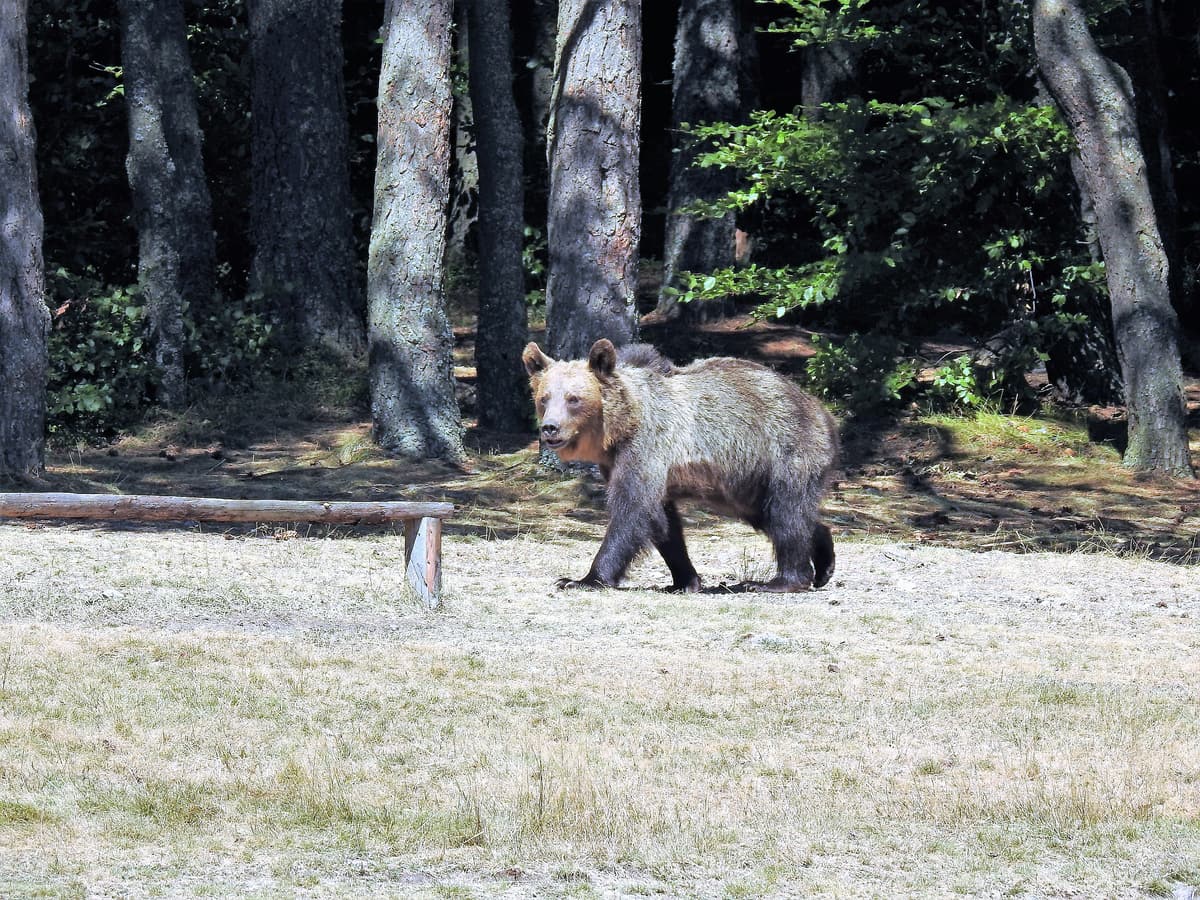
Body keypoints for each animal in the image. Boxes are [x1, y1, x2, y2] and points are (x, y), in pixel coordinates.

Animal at [522, 338, 838, 592]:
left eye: (573, 399)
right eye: (544, 398)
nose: (550, 428)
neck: (621, 426)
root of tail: (821, 410)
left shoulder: (646, 448)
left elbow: (631, 510)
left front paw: (582, 579)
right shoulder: (621, 463)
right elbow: (663, 522)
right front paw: (685, 580)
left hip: (784, 451)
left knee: (786, 513)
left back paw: (780, 581)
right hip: (747, 482)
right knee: (774, 514)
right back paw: (824, 562)